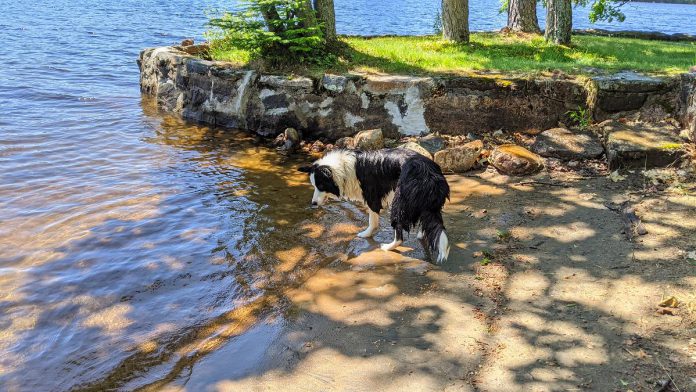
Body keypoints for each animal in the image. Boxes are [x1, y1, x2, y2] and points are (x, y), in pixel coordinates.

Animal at [300, 149, 452, 264]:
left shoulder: (371, 196)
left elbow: (372, 220)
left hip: (399, 203)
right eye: (314, 186)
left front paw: (365, 234)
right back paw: (422, 234)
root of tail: (429, 173)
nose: (313, 204)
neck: (343, 168)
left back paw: (388, 247)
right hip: (426, 204)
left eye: (321, 186)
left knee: (399, 234)